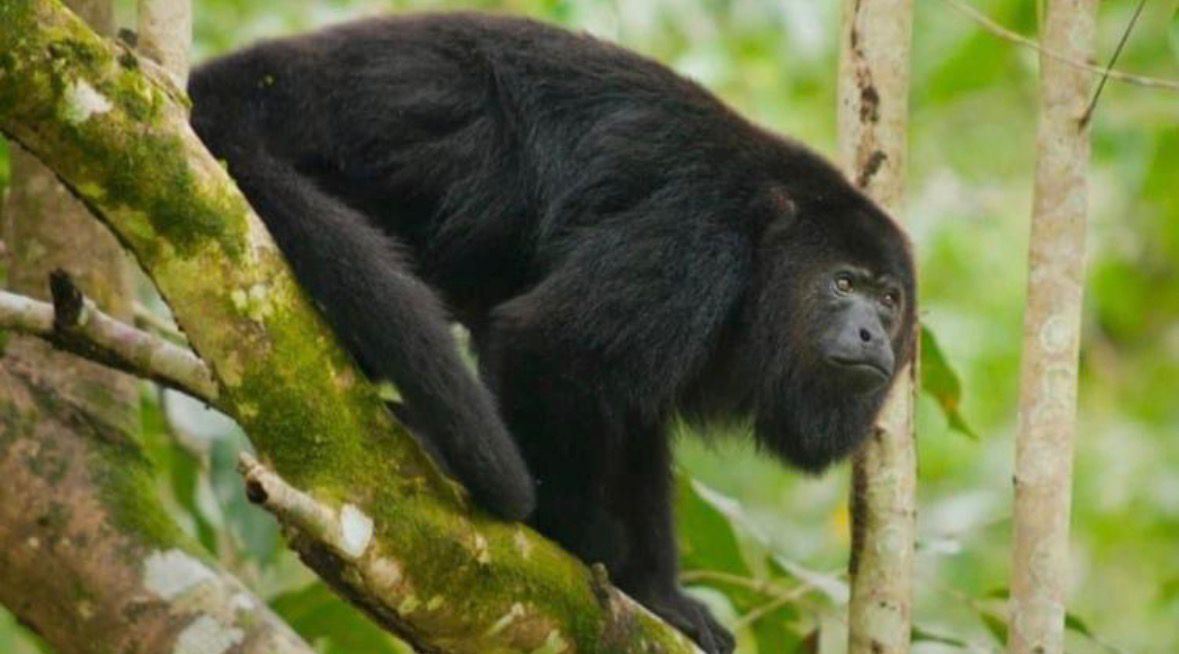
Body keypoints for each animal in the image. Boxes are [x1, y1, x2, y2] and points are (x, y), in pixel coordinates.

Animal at [189, 13, 916, 652]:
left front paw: (659, 595)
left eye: (889, 299)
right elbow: (549, 344)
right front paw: (573, 535)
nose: (872, 336)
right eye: (842, 284)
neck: (765, 249)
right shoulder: (697, 240)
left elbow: (635, 418)